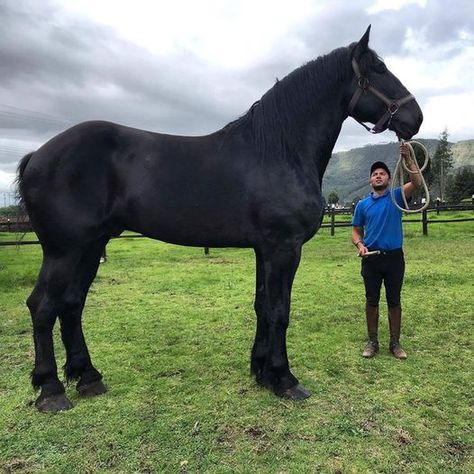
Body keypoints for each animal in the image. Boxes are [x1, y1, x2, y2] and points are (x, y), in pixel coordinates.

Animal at [16, 26, 422, 412]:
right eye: (379, 69)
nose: (415, 117)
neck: (278, 151)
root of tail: (39, 154)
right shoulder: (283, 247)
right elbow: (280, 310)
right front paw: (285, 379)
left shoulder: (264, 249)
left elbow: (262, 306)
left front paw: (261, 371)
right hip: (64, 250)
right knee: (43, 306)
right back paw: (51, 390)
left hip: (90, 246)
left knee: (71, 305)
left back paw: (88, 378)